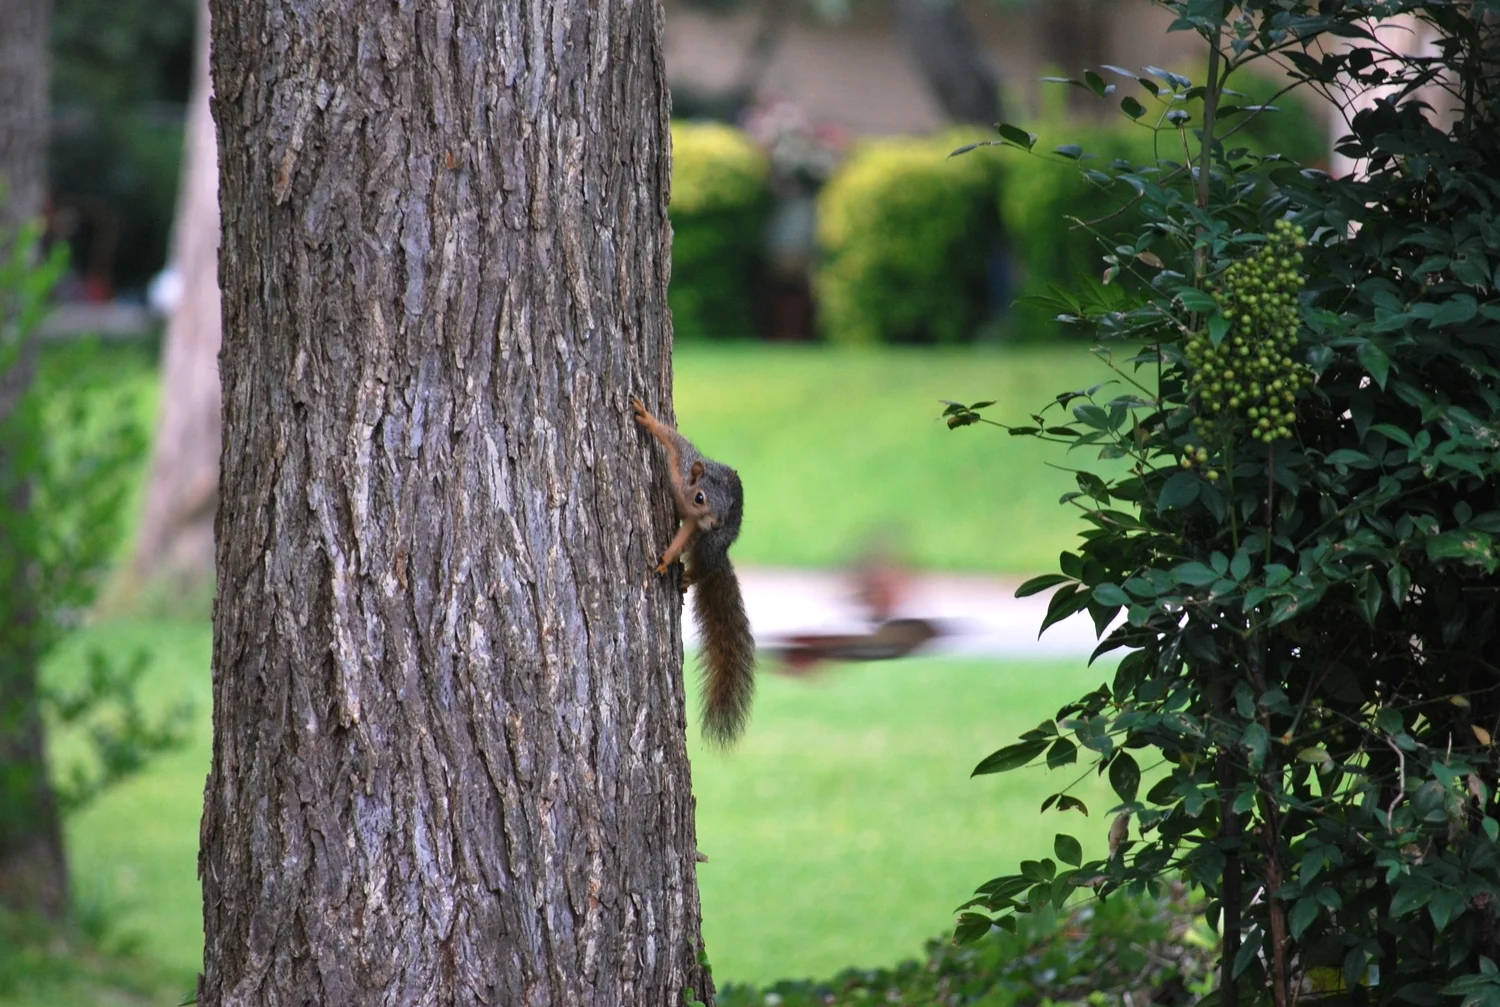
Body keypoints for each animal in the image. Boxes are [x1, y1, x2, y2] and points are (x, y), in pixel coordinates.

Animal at [631, 396, 755, 746]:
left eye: (729, 506)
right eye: (700, 497)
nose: (716, 523)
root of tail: (723, 551)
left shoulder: (695, 526)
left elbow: (682, 538)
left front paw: (667, 559)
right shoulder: (684, 462)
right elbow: (673, 438)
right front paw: (648, 418)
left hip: (713, 546)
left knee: (704, 565)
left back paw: (689, 576)